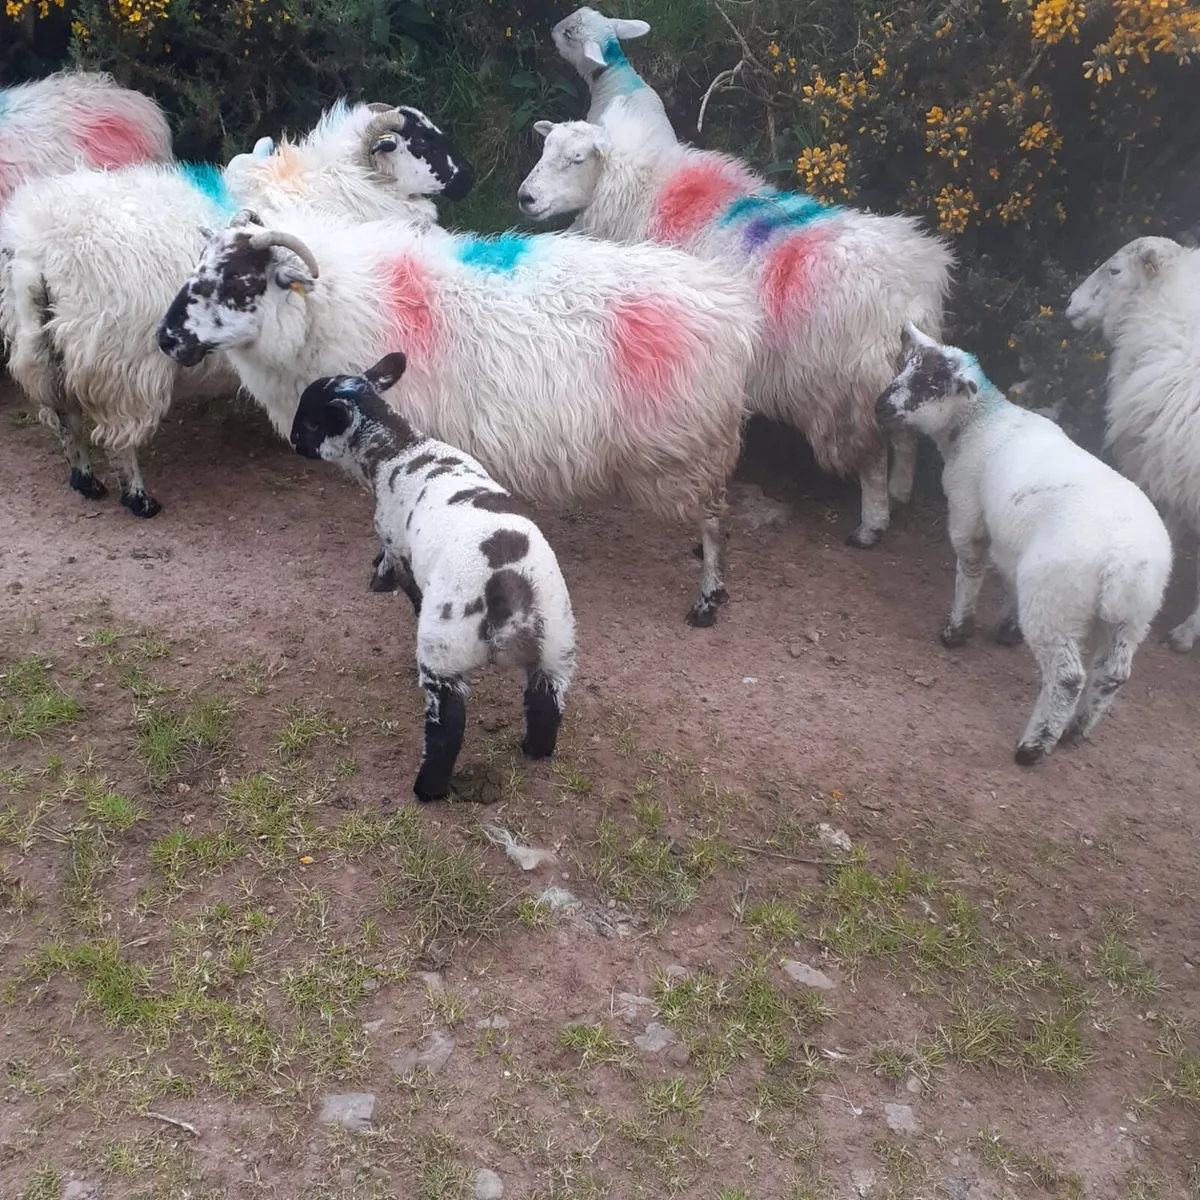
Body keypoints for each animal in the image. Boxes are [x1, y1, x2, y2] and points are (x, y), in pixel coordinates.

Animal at [0, 101, 473, 517]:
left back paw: (84, 480)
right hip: (119, 361)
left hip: (43, 347)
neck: (343, 185)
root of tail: (40, 248)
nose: (466, 179)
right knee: (118, 437)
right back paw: (139, 499)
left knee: (65, 418)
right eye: (421, 143)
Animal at [155, 211, 760, 626]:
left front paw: (383, 571)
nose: (165, 339)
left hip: (692, 448)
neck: (326, 311)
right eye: (197, 270)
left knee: (714, 520)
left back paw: (708, 598)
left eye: (238, 281)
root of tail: (732, 308)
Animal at [290, 352, 577, 801]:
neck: (398, 448)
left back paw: (427, 788)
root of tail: (506, 585)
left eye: (307, 424)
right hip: (556, 647)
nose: (290, 441)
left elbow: (403, 581)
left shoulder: (395, 541)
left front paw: (378, 579)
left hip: (444, 650)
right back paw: (536, 750)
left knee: (447, 729)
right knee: (546, 705)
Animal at [518, 97, 955, 548]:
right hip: (895, 367)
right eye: (545, 148)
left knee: (872, 455)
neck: (643, 193)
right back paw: (900, 492)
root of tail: (909, 289)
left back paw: (872, 524)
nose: (524, 198)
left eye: (576, 158)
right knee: (905, 435)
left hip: (847, 384)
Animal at [876, 325, 1171, 765]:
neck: (982, 422)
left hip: (1055, 599)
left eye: (929, 383)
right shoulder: (1015, 545)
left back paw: (1034, 746)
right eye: (906, 366)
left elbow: (970, 568)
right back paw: (1077, 729)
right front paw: (1007, 628)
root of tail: (1123, 562)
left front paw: (956, 631)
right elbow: (1009, 580)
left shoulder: (967, 512)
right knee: (1112, 674)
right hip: (1133, 616)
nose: (879, 406)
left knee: (1067, 677)